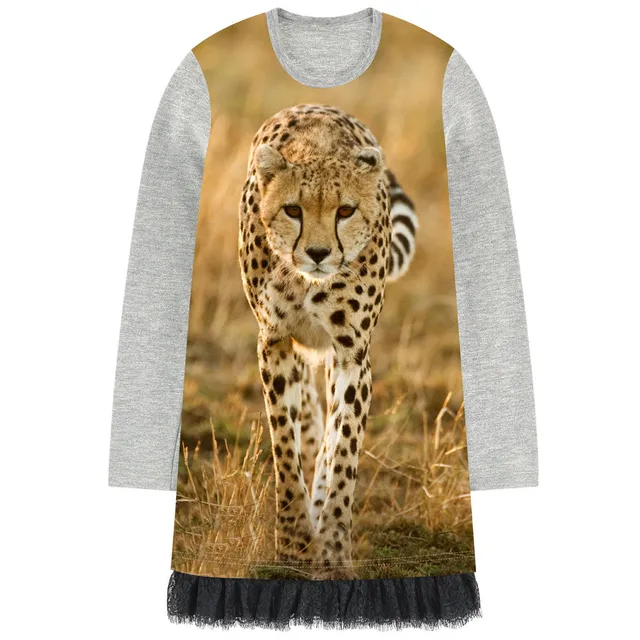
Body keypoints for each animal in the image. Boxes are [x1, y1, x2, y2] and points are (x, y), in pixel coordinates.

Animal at [238, 104, 418, 579]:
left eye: (346, 211)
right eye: (292, 210)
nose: (318, 253)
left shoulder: (352, 353)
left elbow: (344, 450)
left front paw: (334, 546)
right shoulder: (275, 342)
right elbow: (284, 443)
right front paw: (294, 541)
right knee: (308, 416)